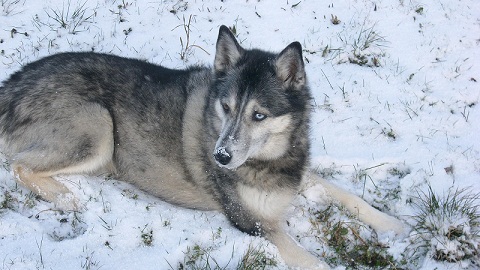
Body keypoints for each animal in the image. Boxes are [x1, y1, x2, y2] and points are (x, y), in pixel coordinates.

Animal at [0, 25, 404, 270]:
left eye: (259, 115)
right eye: (226, 106)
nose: (220, 157)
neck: (268, 161)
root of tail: (14, 81)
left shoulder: (297, 173)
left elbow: (349, 196)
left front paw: (394, 225)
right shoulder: (253, 221)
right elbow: (310, 260)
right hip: (99, 128)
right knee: (20, 165)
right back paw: (66, 197)